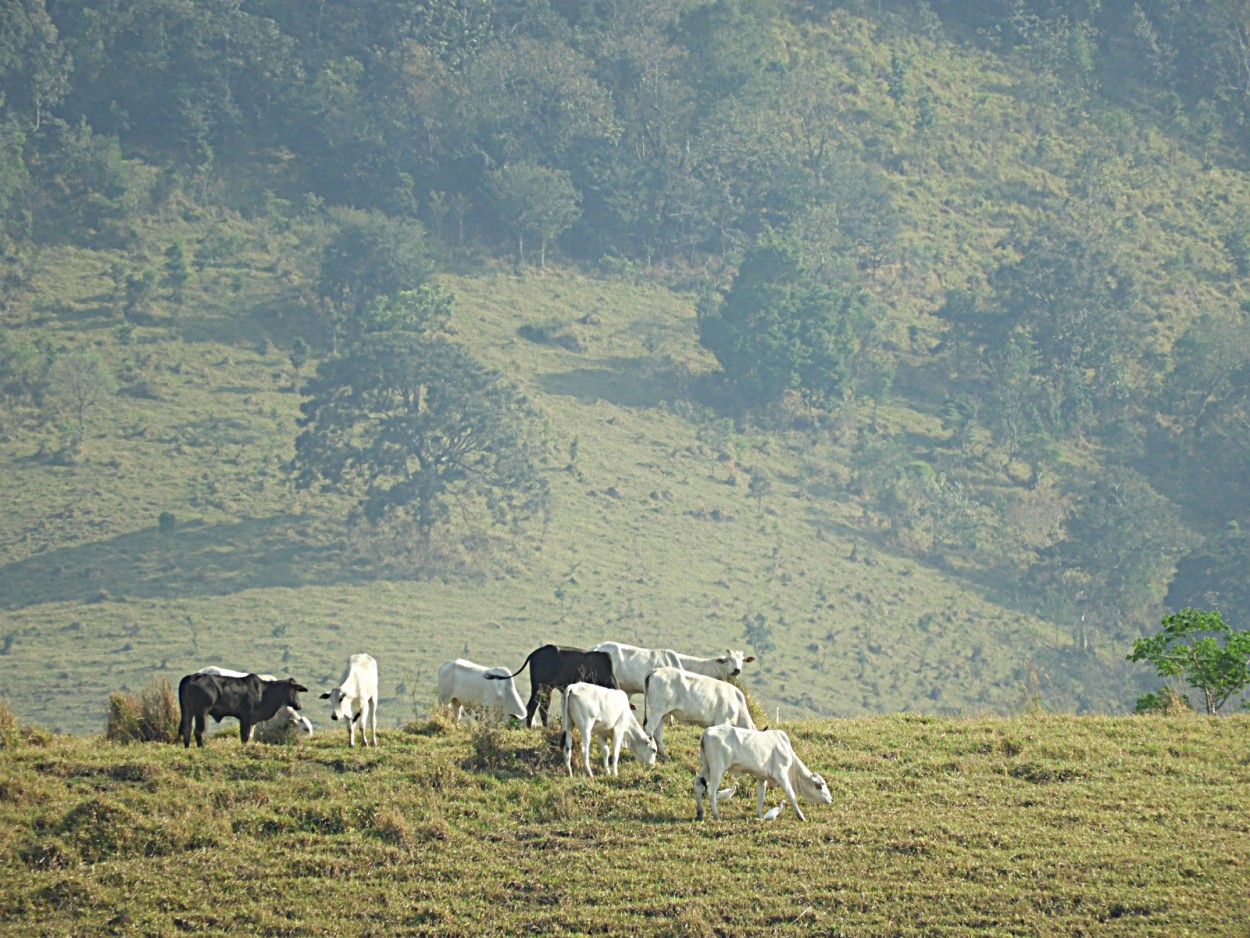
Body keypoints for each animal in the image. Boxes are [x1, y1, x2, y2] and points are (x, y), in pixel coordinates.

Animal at [177, 670, 308, 755]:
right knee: (198, 731)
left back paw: (187, 748)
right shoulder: (246, 718)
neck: (263, 692)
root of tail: (192, 676)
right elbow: (244, 736)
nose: (300, 706)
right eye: (296, 691)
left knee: (187, 729)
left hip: (187, 711)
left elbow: (247, 736)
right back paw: (202, 747)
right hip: (201, 712)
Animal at [485, 645, 617, 730]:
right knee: (534, 706)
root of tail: (534, 653)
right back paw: (531, 728)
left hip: (546, 688)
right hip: (539, 686)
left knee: (542, 706)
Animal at [695, 725, 830, 820]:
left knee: (698, 784)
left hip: (706, 767)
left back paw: (700, 813)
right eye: (821, 785)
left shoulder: (761, 778)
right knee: (711, 791)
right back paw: (716, 815)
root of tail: (706, 732)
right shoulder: (781, 774)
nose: (831, 799)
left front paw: (759, 815)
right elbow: (791, 794)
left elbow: (761, 796)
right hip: (717, 768)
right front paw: (801, 817)